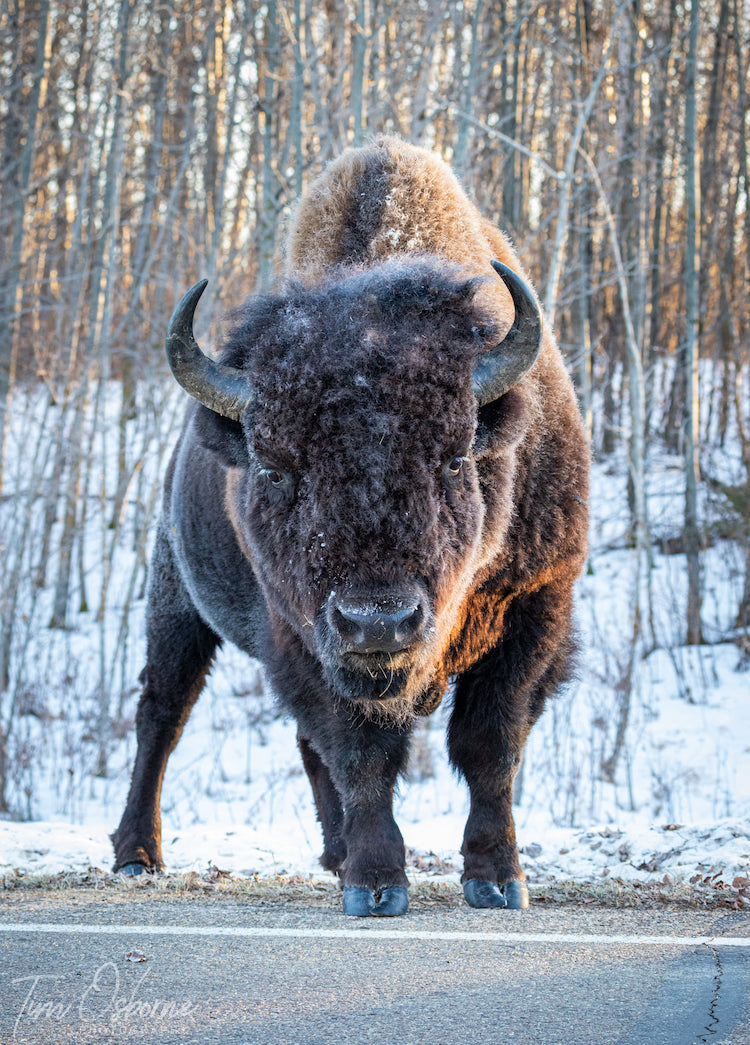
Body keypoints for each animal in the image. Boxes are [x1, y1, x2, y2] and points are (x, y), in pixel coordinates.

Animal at [113, 136, 593, 915]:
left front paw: (497, 879)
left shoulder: (536, 604)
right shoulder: (302, 633)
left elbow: (488, 745)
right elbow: (362, 752)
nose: (378, 621)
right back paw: (137, 855)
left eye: (455, 456)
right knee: (162, 711)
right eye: (277, 469)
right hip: (175, 603)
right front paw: (377, 884)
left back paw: (333, 853)